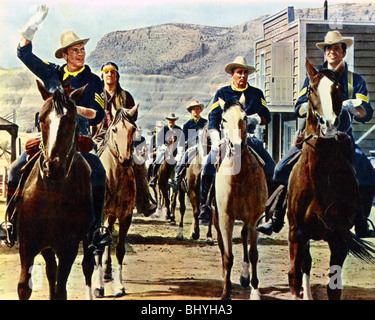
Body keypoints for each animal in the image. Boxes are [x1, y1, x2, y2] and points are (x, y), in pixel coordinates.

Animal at [16, 81, 94, 302]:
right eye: (42, 119)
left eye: (71, 119)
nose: (53, 166)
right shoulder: (28, 243)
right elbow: (24, 287)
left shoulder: (68, 246)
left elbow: (61, 290)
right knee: (51, 270)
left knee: (88, 266)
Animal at [213, 95, 268, 300]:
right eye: (223, 119)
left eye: (244, 117)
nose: (235, 146)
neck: (239, 176)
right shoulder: (225, 218)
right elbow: (228, 256)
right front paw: (225, 292)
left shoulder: (254, 218)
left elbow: (253, 254)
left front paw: (255, 290)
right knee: (223, 247)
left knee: (244, 236)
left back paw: (245, 277)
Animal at [288, 59, 375, 300]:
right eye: (310, 89)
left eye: (338, 90)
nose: (328, 124)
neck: (320, 179)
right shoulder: (297, 234)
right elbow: (295, 276)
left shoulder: (340, 237)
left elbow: (333, 287)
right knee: (305, 266)